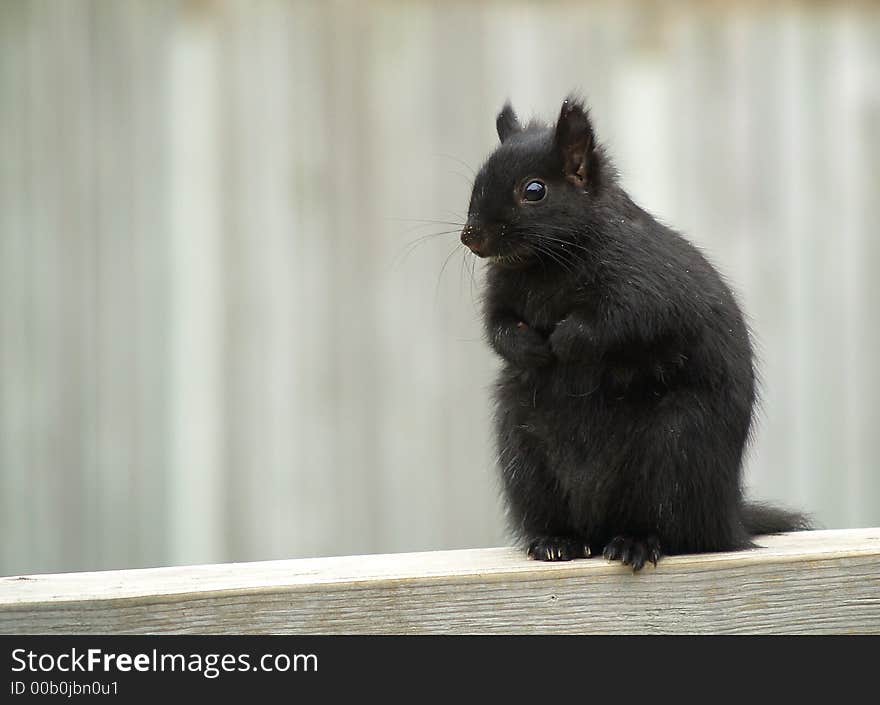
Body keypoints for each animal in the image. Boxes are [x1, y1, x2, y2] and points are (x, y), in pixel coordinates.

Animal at [460, 96, 812, 568]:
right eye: (478, 180)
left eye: (534, 190)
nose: (470, 236)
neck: (546, 263)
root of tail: (726, 519)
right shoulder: (500, 294)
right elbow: (497, 327)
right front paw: (530, 347)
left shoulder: (646, 287)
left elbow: (614, 325)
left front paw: (564, 340)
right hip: (525, 456)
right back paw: (557, 541)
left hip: (677, 451)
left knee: (675, 531)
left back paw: (636, 542)